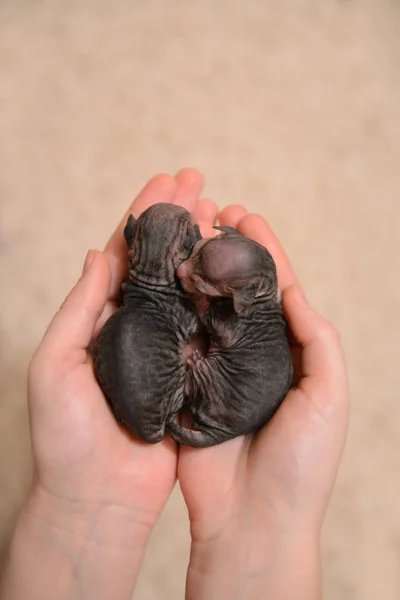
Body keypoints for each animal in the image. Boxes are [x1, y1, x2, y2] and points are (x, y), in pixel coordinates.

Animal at [166, 227, 294, 448]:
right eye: (194, 250)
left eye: (198, 283)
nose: (178, 271)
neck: (262, 295)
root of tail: (222, 433)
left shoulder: (230, 325)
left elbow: (209, 320)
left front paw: (201, 302)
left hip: (208, 375)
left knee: (190, 387)